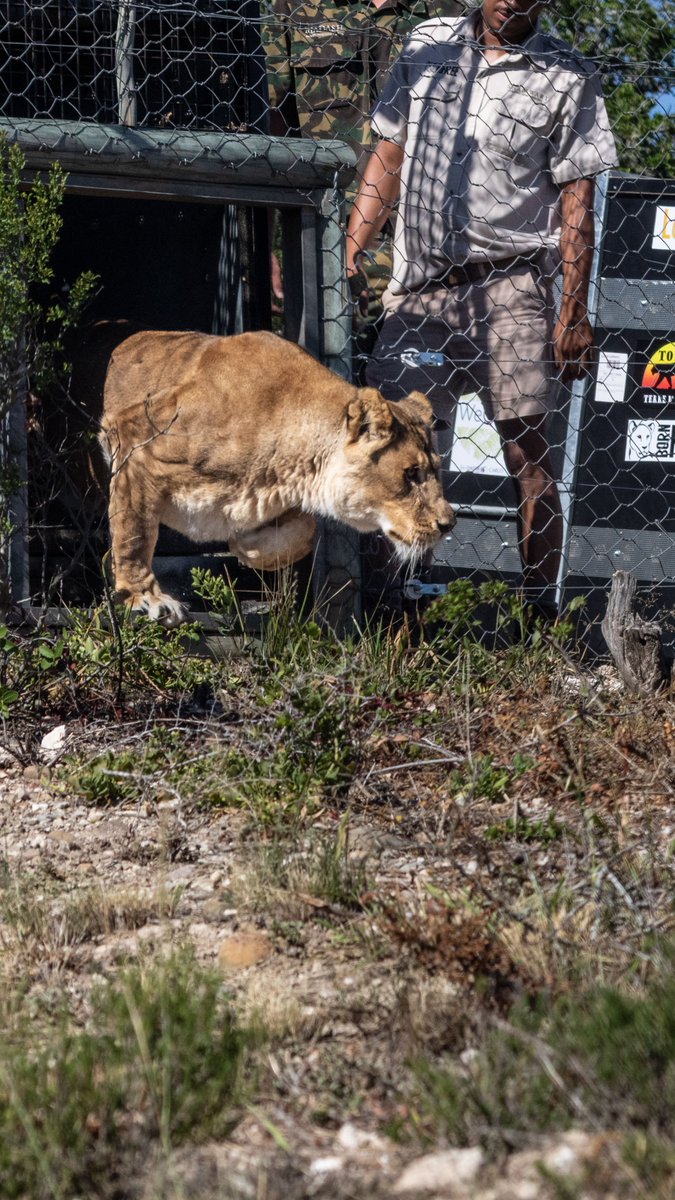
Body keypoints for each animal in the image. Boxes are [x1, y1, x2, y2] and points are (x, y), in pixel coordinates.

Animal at [95, 329, 454, 626]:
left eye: (436, 469)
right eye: (411, 473)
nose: (448, 524)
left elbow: (305, 532)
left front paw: (244, 546)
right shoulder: (134, 435)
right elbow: (134, 534)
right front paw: (144, 598)